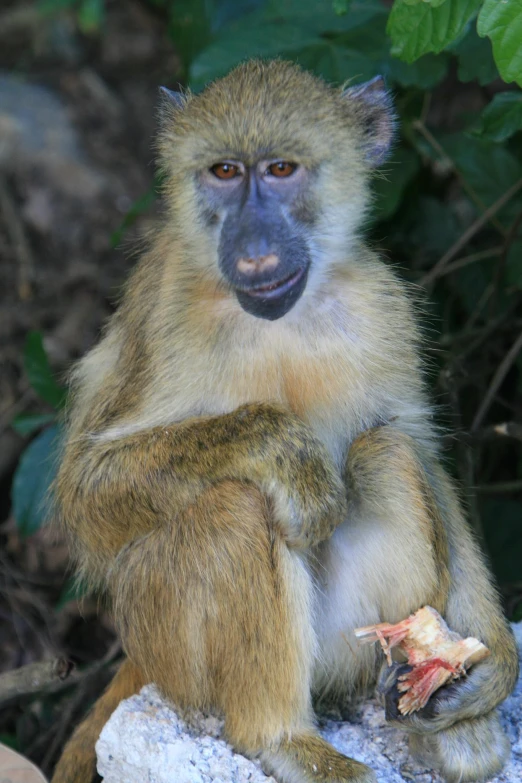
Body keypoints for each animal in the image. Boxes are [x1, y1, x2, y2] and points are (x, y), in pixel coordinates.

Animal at [49, 61, 516, 783]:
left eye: (280, 169)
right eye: (223, 171)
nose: (254, 245)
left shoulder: (382, 305)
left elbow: (419, 448)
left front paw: (490, 667)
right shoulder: (166, 308)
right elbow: (87, 489)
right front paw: (284, 450)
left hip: (345, 648)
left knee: (388, 453)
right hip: (169, 644)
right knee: (235, 506)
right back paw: (279, 738)